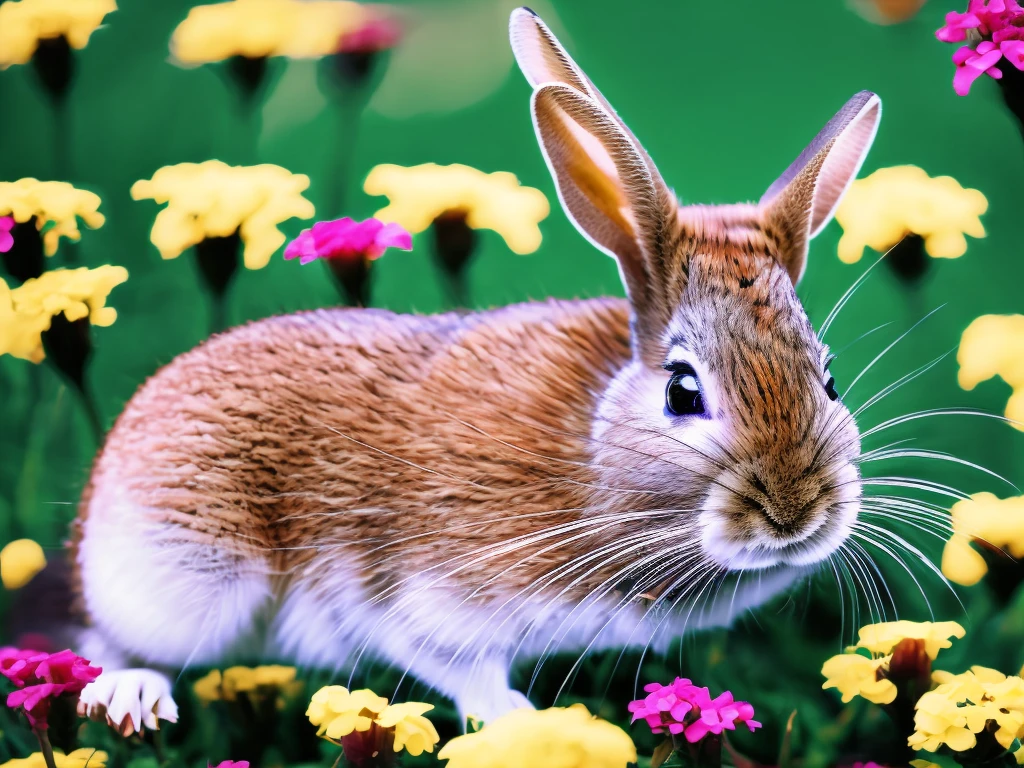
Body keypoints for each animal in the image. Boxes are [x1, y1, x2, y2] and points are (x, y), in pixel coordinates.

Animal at [72, 9, 876, 737]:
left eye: (829, 380)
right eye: (683, 391)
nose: (795, 513)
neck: (590, 451)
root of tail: (102, 488)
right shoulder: (422, 592)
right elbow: (459, 664)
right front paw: (520, 722)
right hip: (191, 577)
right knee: (110, 637)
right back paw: (131, 698)